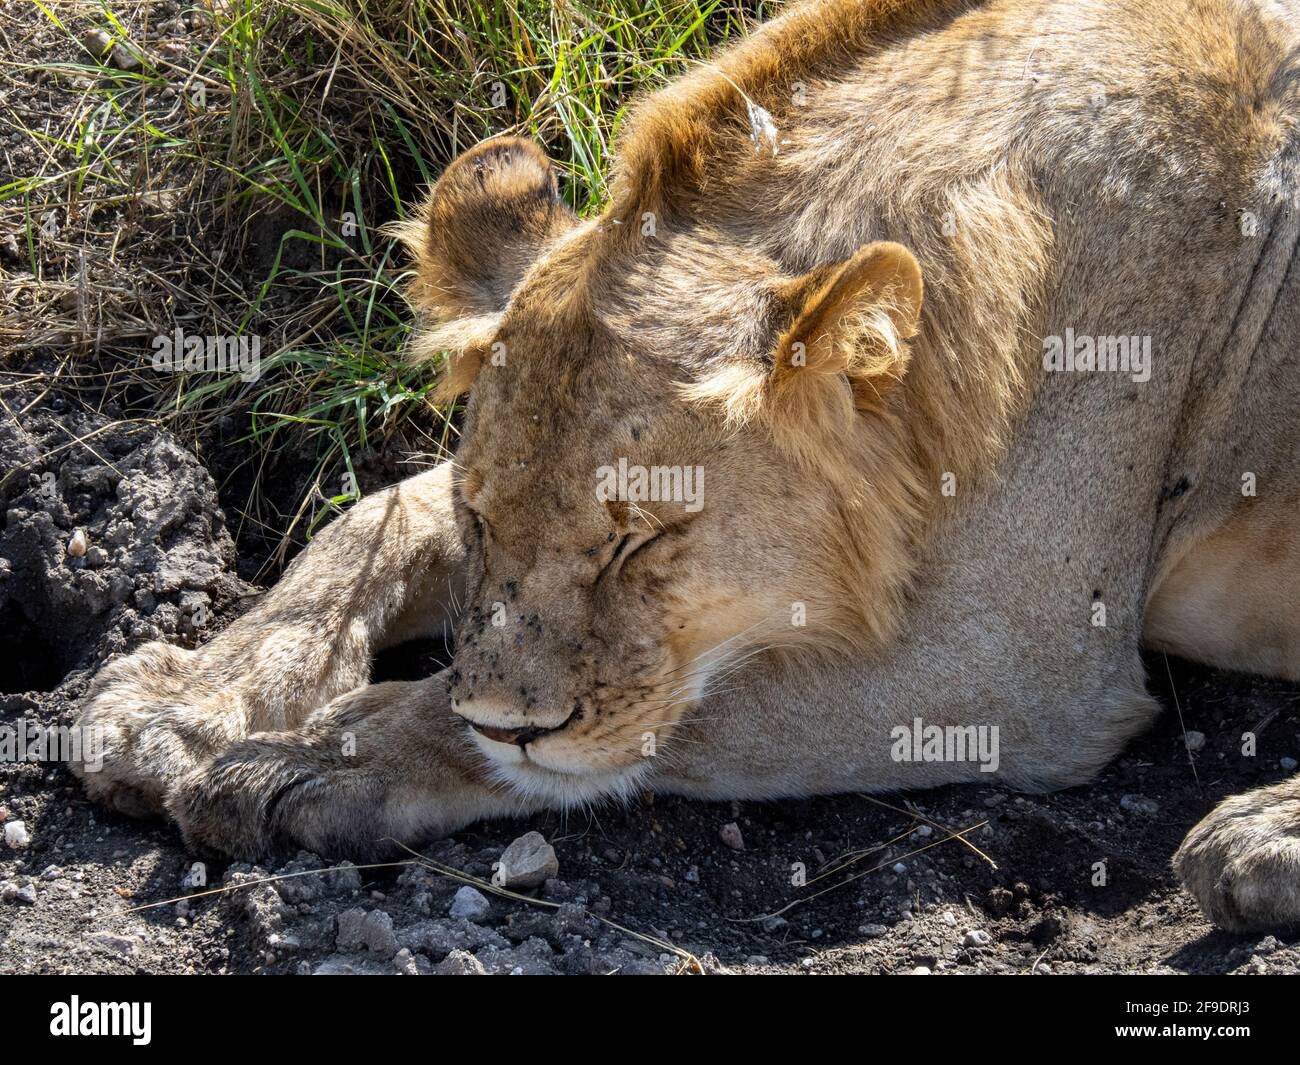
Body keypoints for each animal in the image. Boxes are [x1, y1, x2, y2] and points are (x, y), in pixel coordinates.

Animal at [68, 0, 1300, 931]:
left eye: (646, 543)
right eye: (484, 523)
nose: (512, 720)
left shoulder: (1023, 670)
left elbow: (666, 720)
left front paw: (322, 755)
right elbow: (370, 519)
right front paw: (191, 708)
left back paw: (1260, 840)